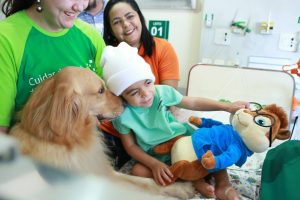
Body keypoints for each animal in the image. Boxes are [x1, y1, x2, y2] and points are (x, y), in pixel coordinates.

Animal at [9, 67, 195, 198]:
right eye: (100, 91)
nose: (125, 102)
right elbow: (146, 184)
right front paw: (180, 187)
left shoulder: (104, 171)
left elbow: (143, 181)